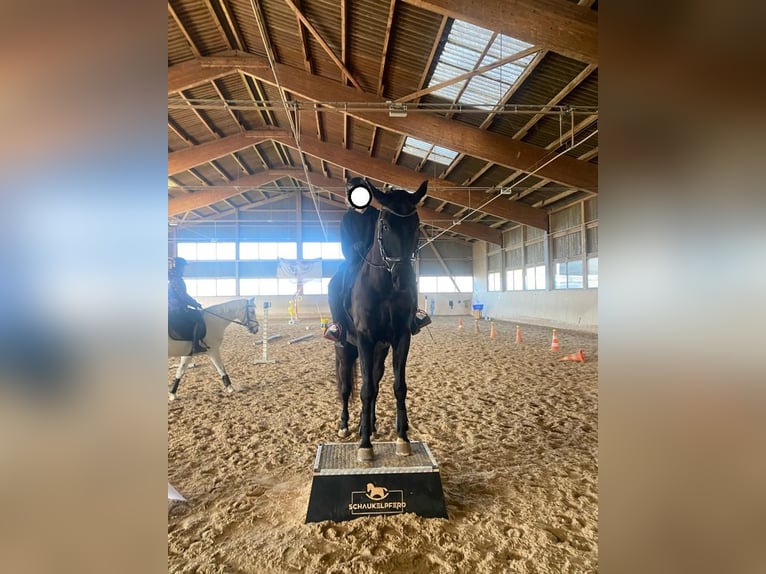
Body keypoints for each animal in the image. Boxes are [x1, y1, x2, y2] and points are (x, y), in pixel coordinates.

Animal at [338, 180, 432, 464]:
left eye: (416, 224)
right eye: (387, 225)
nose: (404, 279)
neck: (385, 288)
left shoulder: (401, 337)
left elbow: (397, 386)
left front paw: (402, 439)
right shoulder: (364, 339)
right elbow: (365, 390)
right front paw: (364, 446)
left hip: (380, 349)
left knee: (376, 383)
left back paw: (367, 424)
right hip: (345, 347)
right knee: (346, 387)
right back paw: (345, 426)